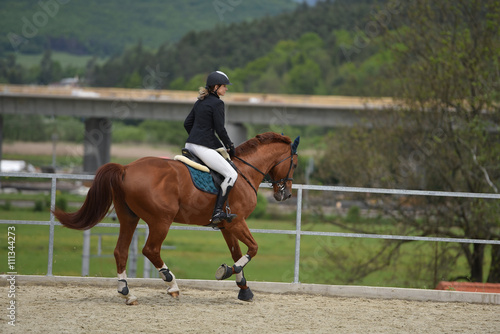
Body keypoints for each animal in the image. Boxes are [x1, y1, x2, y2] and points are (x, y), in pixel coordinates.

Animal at [52, 132, 298, 304]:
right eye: (294, 164)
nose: (285, 195)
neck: (245, 172)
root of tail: (125, 168)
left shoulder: (227, 225)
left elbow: (237, 252)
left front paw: (244, 290)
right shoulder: (237, 222)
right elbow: (253, 249)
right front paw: (226, 272)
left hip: (129, 218)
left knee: (120, 251)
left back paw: (127, 293)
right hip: (161, 220)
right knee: (150, 250)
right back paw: (171, 285)